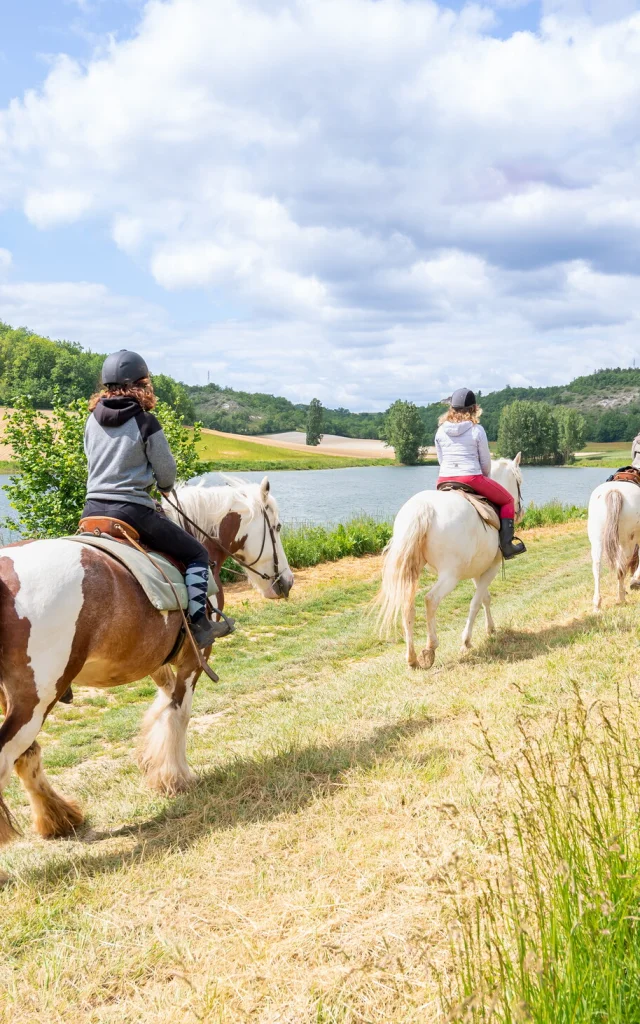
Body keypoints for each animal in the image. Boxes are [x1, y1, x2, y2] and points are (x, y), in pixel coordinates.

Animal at [0, 475, 292, 851]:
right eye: (278, 526)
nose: (286, 582)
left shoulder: (156, 660)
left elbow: (162, 707)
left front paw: (154, 765)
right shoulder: (195, 657)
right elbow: (179, 713)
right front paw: (176, 777)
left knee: (26, 755)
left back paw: (59, 818)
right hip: (34, 701)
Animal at [376, 458, 522, 671]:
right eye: (519, 481)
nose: (521, 510)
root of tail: (424, 508)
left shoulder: (477, 570)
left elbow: (485, 598)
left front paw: (491, 629)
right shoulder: (491, 568)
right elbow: (476, 602)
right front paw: (466, 641)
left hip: (413, 569)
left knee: (407, 605)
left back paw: (411, 658)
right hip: (450, 576)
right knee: (430, 599)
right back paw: (430, 648)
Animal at [585, 477, 638, 606]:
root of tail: (614, 492)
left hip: (597, 540)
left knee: (597, 568)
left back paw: (597, 604)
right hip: (628, 543)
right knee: (621, 568)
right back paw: (621, 597)